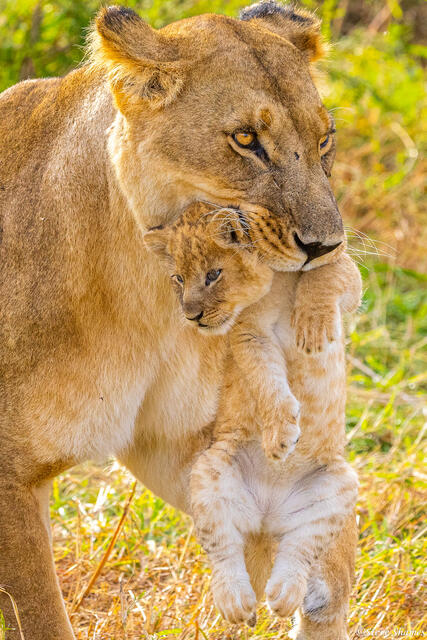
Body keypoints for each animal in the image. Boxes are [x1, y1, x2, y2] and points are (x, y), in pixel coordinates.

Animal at [0, 2, 356, 639]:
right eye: (246, 139)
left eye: (325, 139)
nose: (325, 247)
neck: (150, 306)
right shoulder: (10, 480)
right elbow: (39, 617)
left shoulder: (196, 441)